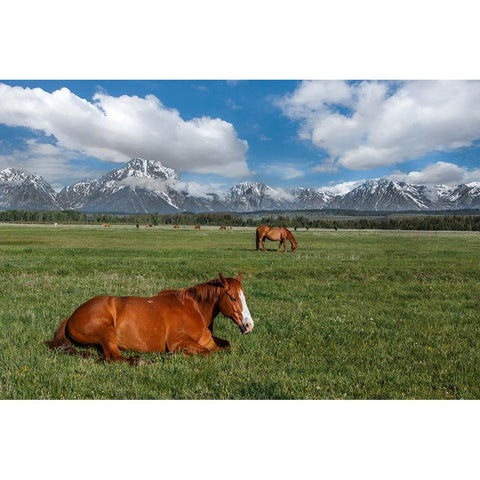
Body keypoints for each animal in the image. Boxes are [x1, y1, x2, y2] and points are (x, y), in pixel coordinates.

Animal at [47, 272, 253, 362]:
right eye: (232, 297)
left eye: (245, 296)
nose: (248, 325)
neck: (194, 309)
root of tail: (71, 316)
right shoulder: (178, 342)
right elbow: (205, 352)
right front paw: (174, 356)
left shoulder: (208, 341)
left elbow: (227, 346)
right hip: (106, 332)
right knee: (114, 357)